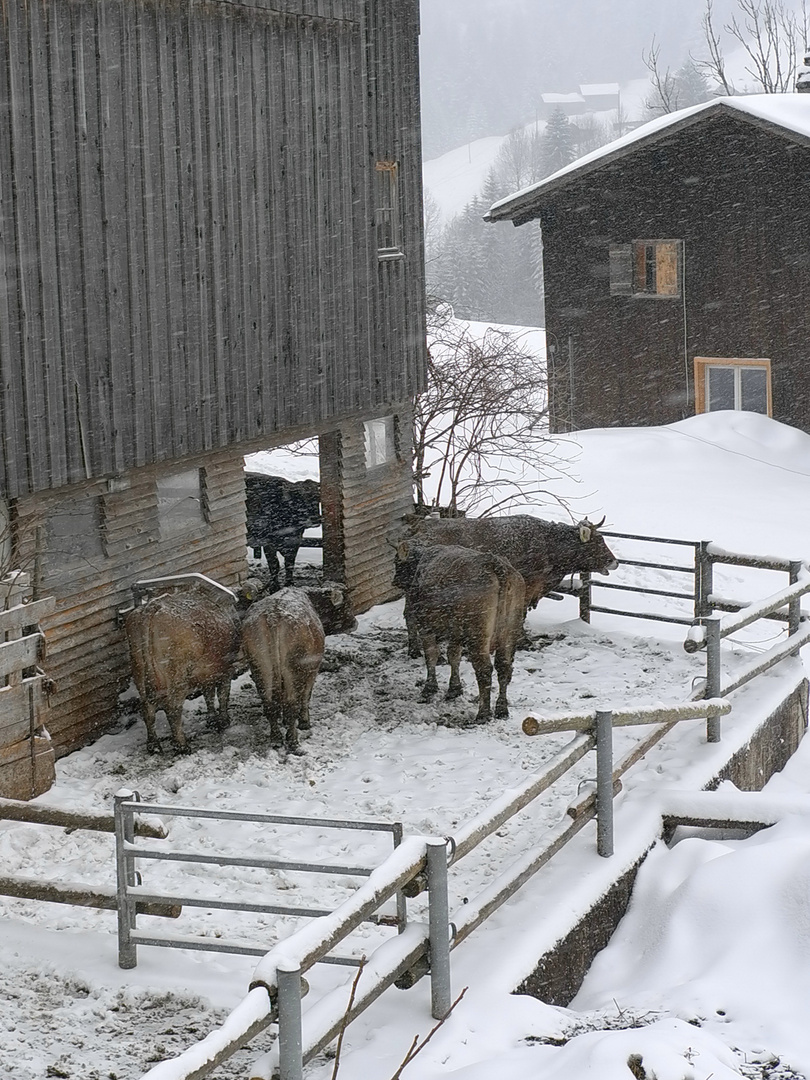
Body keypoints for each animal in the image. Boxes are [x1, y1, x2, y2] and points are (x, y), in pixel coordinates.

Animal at [123, 587, 243, 756]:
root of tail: (151, 607)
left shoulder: (206, 672)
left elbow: (208, 694)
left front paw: (212, 719)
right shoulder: (226, 669)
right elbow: (222, 694)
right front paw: (224, 720)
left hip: (139, 672)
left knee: (147, 710)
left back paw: (154, 745)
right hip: (177, 676)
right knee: (173, 709)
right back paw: (182, 745)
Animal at [240, 587, 326, 756]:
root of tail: (273, 615)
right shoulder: (313, 669)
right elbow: (306, 695)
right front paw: (305, 722)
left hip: (261, 666)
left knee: (270, 705)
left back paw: (276, 739)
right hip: (293, 667)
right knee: (291, 704)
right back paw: (293, 743)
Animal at [393, 540, 527, 725]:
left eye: (396, 562)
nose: (394, 581)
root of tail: (493, 562)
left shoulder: (426, 626)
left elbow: (431, 655)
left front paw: (430, 688)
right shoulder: (455, 633)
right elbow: (453, 656)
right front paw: (454, 688)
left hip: (477, 636)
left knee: (484, 670)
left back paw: (483, 714)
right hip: (510, 632)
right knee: (504, 668)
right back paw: (501, 710)